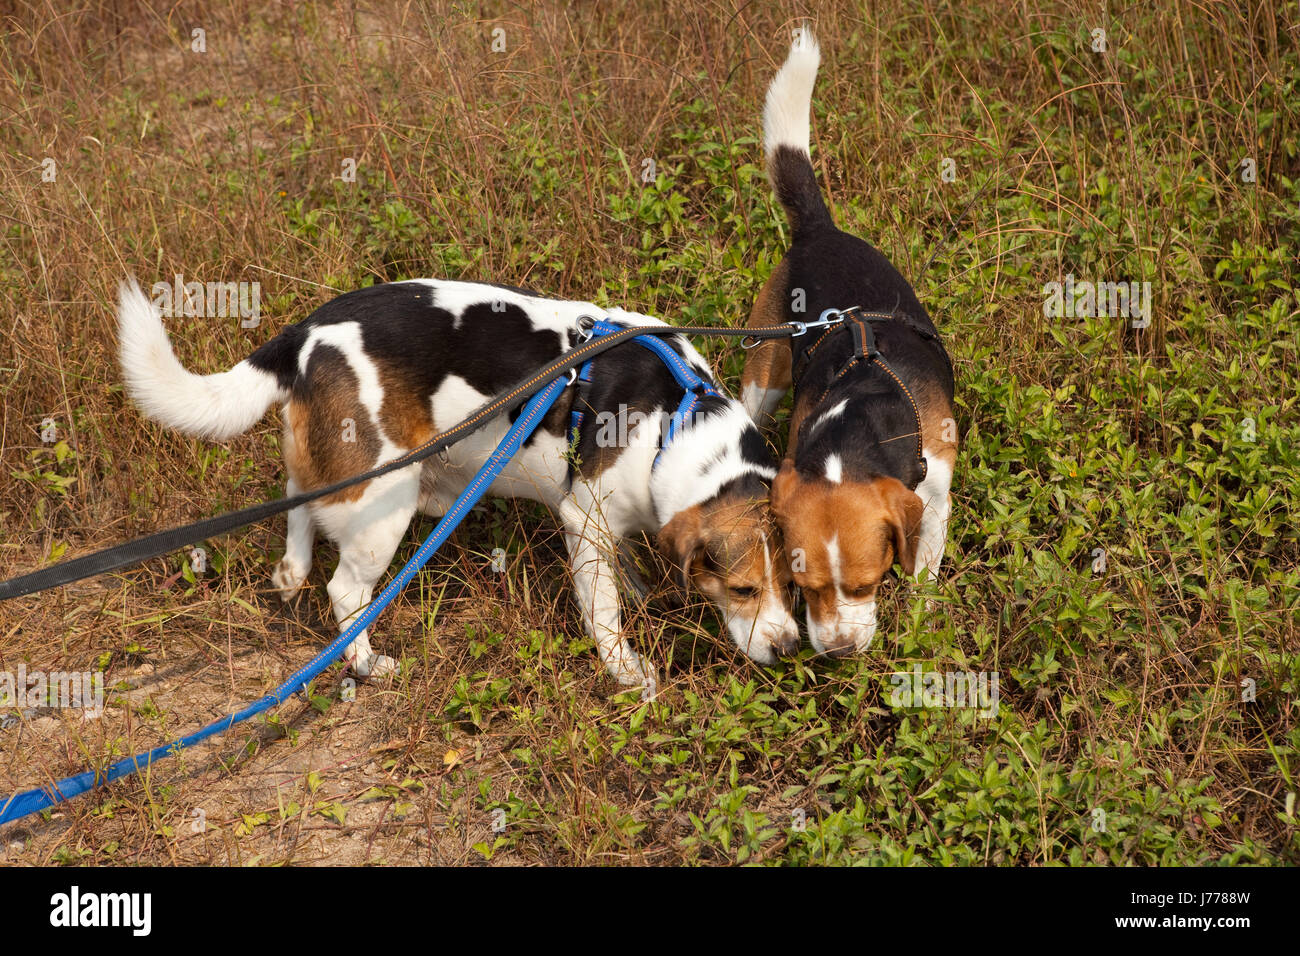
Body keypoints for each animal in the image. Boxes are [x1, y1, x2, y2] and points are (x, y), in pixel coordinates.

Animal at [119, 274, 800, 686]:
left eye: (794, 585)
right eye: (742, 590)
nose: (792, 648)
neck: (678, 417)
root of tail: (301, 335)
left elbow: (621, 569)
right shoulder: (585, 518)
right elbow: (602, 612)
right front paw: (627, 672)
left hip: (338, 469)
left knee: (297, 503)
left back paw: (292, 569)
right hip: (385, 499)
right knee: (345, 591)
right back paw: (368, 664)